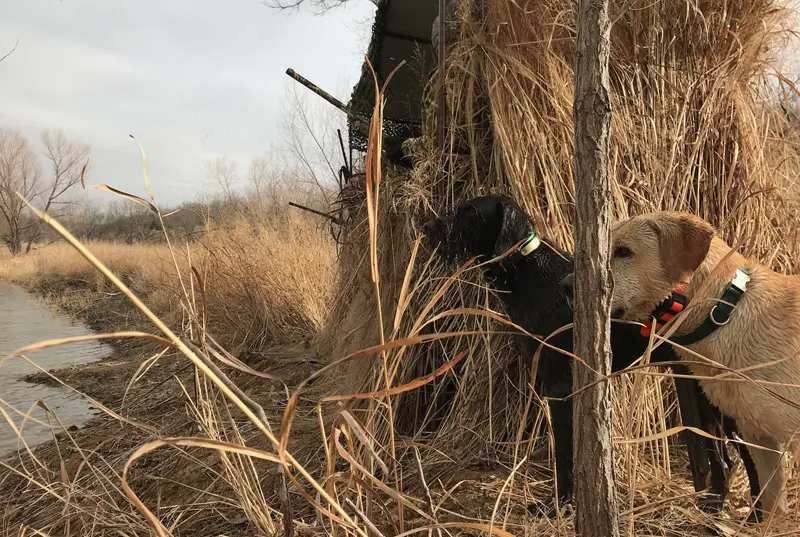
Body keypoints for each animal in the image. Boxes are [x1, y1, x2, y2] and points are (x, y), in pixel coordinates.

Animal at [424, 195, 759, 515]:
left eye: (468, 210)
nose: (427, 227)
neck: (530, 272)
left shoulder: (560, 389)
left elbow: (564, 456)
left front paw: (557, 504)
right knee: (728, 458)